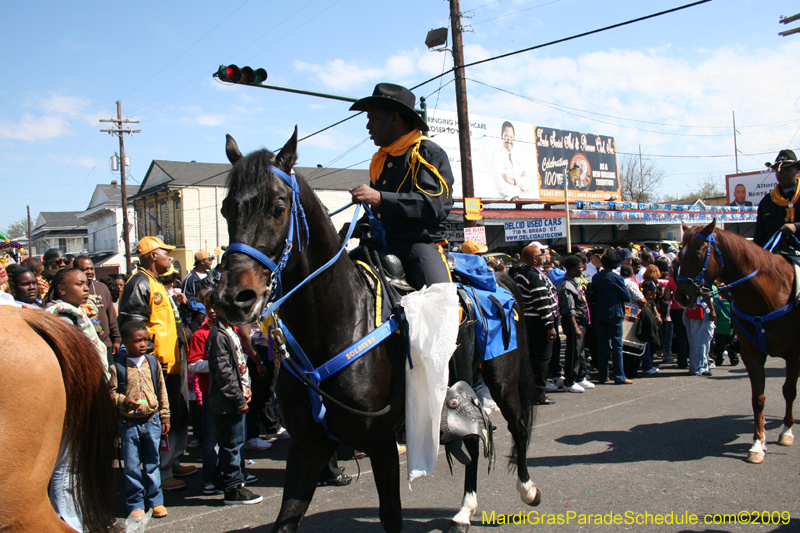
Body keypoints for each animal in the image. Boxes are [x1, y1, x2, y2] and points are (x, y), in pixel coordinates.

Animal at [214, 130, 536, 532]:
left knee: (517, 424)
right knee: (474, 439)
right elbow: (287, 518)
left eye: (278, 207)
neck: (333, 328)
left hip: (503, 377)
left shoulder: (381, 443)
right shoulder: (307, 447)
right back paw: (464, 511)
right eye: (227, 209)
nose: (234, 298)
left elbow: (391, 515)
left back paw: (527, 489)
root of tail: (500, 275)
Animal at [676, 219, 800, 462]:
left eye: (696, 255)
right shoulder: (751, 353)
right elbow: (758, 398)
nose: (681, 296)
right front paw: (758, 443)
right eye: (678, 254)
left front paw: (786, 431)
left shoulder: (794, 352)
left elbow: (789, 390)